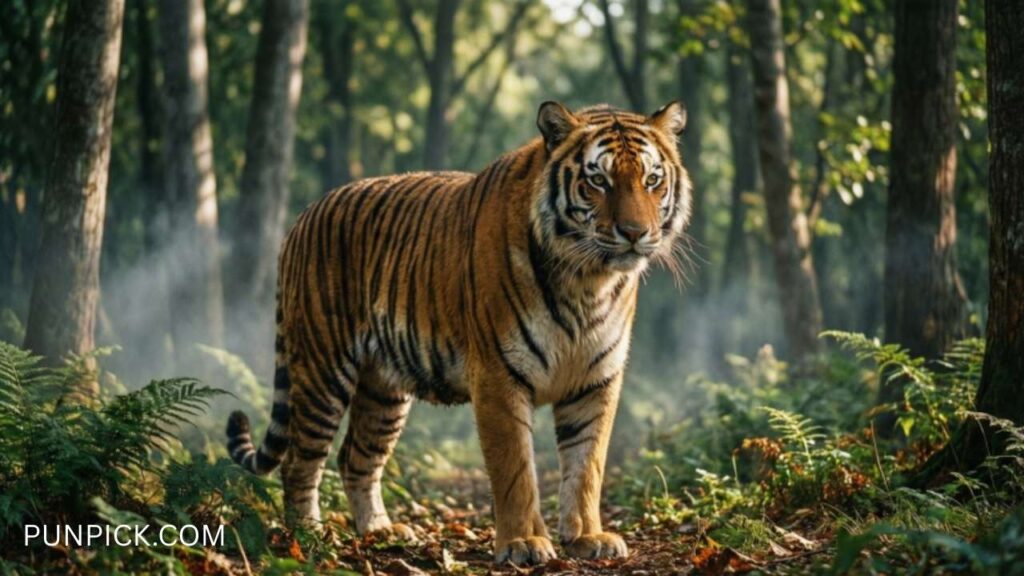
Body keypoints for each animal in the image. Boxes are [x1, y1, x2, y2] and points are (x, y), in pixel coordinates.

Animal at [225, 101, 691, 565]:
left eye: (652, 180)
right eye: (598, 180)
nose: (635, 233)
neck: (587, 282)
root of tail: (304, 215)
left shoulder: (596, 380)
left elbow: (586, 465)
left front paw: (587, 537)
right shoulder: (499, 376)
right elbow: (515, 469)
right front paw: (522, 543)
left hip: (382, 389)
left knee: (355, 456)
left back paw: (379, 531)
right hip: (323, 369)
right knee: (300, 461)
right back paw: (308, 536)